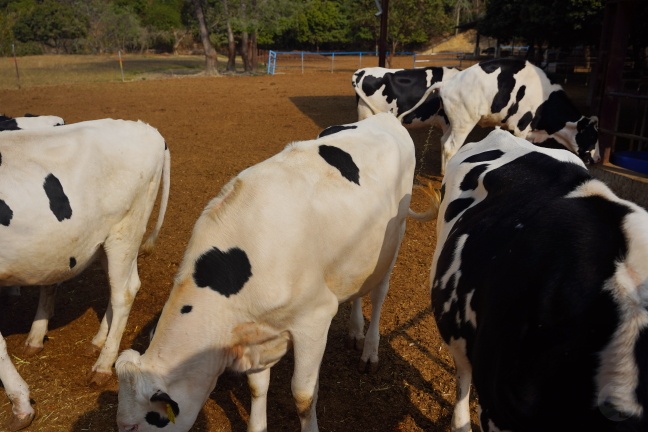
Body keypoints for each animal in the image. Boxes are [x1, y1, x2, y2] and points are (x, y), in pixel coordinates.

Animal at [0, 118, 170, 432]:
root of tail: (146, 128)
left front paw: (20, 404)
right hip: (103, 242)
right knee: (122, 286)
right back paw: (94, 341)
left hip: (124, 232)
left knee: (124, 293)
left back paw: (103, 365)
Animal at [116, 112, 416, 432]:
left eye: (133, 426)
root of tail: (385, 117)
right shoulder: (256, 335)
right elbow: (258, 387)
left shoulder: (315, 318)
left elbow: (303, 395)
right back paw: (355, 331)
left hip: (393, 242)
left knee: (379, 294)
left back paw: (369, 350)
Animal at [402, 57, 600, 176]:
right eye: (592, 136)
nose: (597, 159)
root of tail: (447, 83)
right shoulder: (521, 127)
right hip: (464, 123)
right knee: (450, 146)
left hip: (453, 122)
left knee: (444, 142)